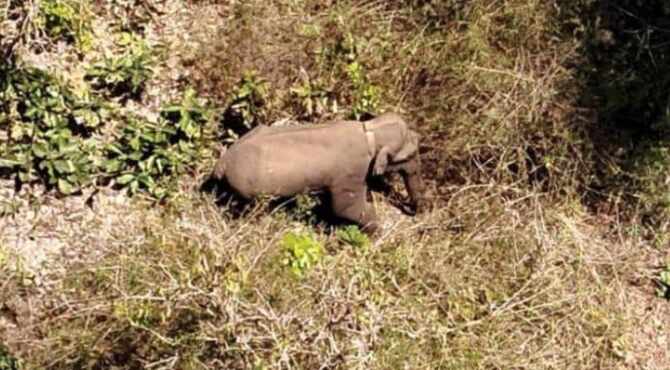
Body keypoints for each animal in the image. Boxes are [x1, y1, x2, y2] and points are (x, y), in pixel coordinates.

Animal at [210, 111, 426, 236]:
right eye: (410, 154)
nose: (415, 212)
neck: (369, 130)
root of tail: (222, 163)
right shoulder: (351, 171)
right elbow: (344, 208)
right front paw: (377, 232)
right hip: (248, 190)